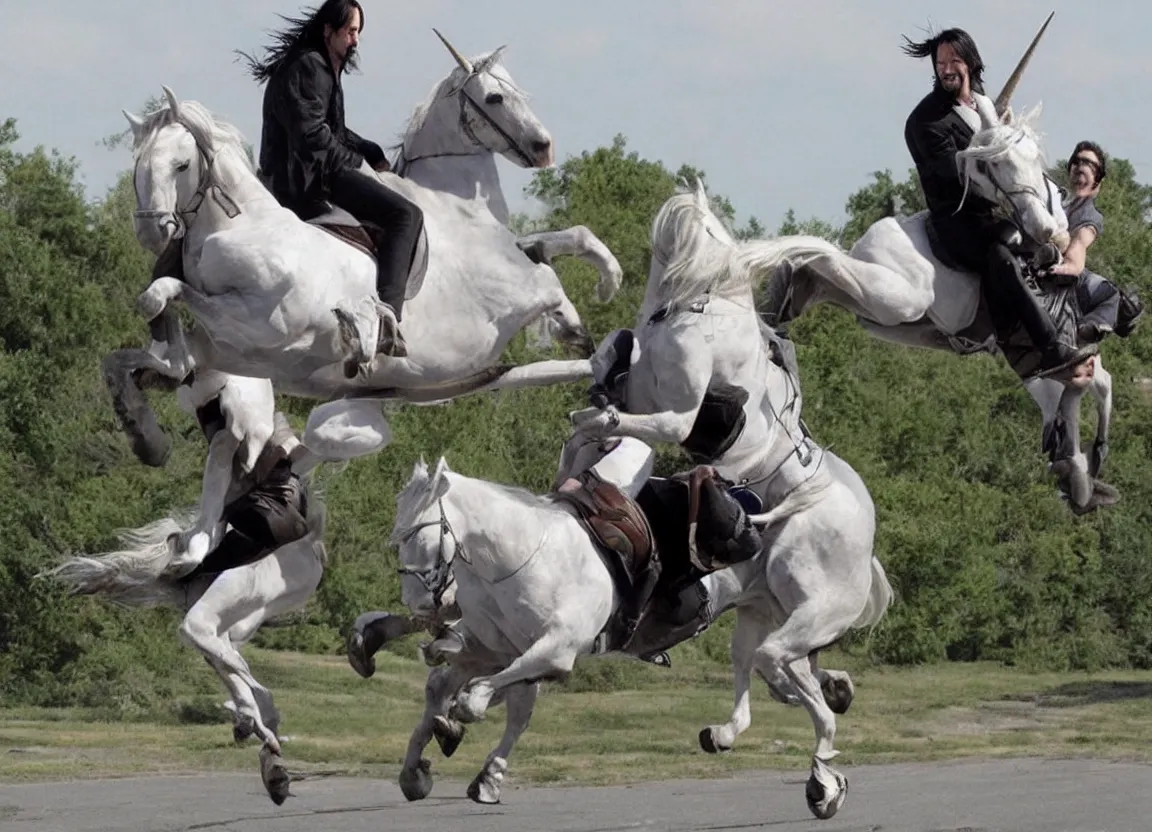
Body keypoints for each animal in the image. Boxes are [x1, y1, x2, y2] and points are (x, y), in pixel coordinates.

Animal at [110, 30, 622, 472]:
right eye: (495, 98)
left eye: (180, 165)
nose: (543, 147)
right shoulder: (251, 333)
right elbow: (147, 322)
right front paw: (148, 440)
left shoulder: (236, 339)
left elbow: (564, 242)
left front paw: (603, 288)